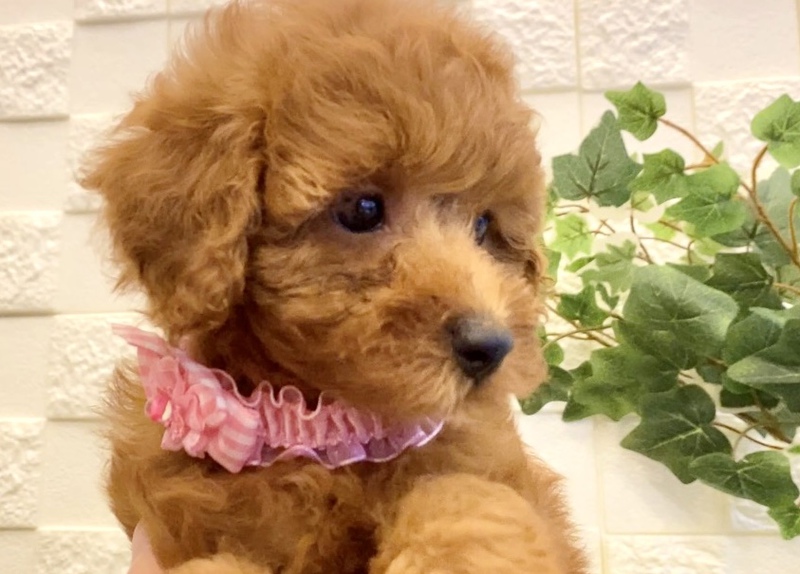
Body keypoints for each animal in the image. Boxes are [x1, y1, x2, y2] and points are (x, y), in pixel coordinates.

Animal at [82, 0, 587, 572]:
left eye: (483, 226)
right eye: (362, 209)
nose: (491, 346)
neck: (318, 427)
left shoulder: (503, 479)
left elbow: (468, 500)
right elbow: (217, 563)